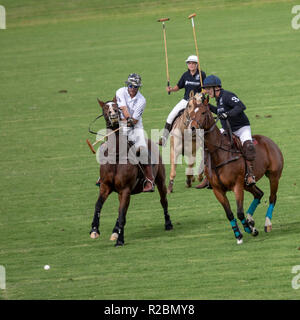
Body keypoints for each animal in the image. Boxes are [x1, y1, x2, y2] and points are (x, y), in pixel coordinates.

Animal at [89, 99, 173, 246]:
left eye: (116, 107)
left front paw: (120, 240)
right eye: (105, 108)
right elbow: (98, 205)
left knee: (163, 200)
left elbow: (122, 214)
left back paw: (168, 224)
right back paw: (115, 231)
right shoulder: (105, 186)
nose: (113, 114)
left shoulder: (125, 189)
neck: (117, 156)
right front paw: (94, 230)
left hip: (160, 180)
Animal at [190, 92, 284, 245]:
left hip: (273, 176)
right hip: (248, 183)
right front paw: (239, 235)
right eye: (191, 112)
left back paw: (267, 224)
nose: (192, 128)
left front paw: (249, 230)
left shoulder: (237, 185)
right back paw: (251, 219)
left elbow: (239, 212)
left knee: (272, 197)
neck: (218, 154)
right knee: (259, 194)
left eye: (203, 112)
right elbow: (229, 214)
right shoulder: (217, 190)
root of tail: (270, 141)